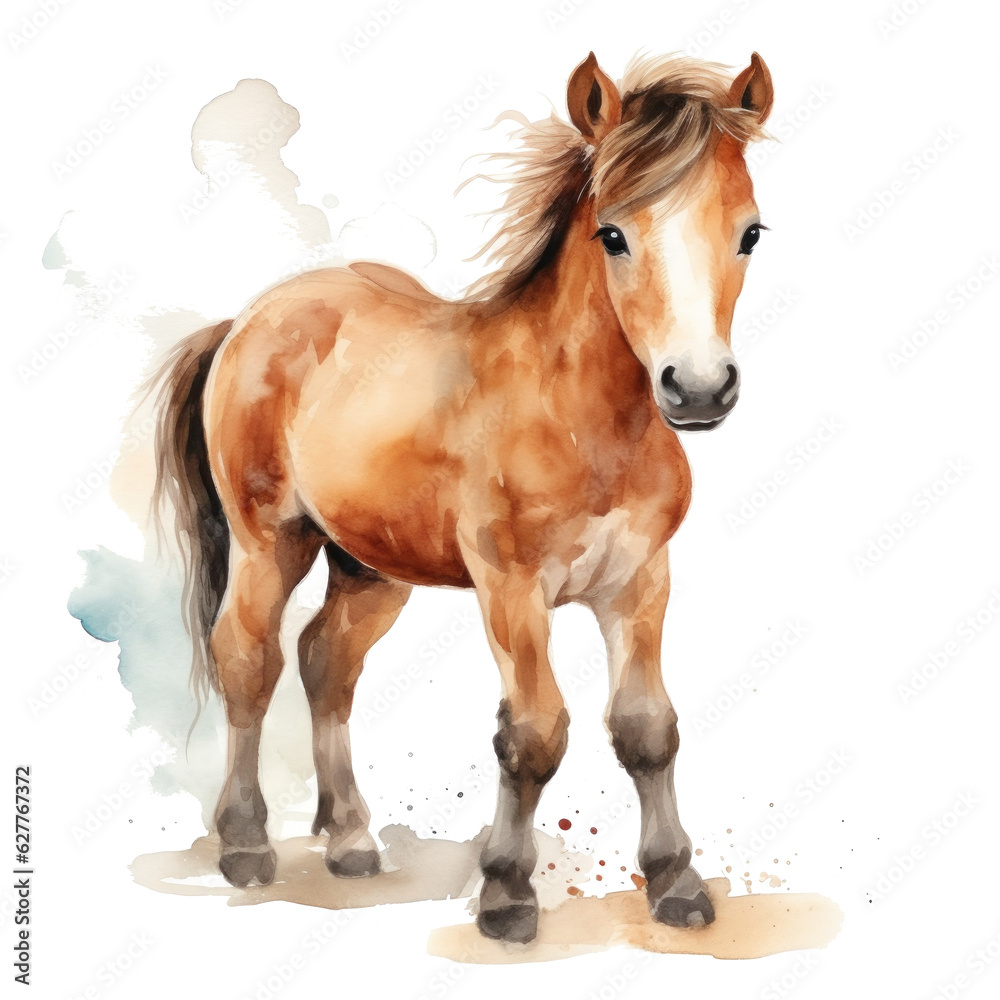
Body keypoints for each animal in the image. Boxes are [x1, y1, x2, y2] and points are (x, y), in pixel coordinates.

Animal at [149, 50, 774, 944]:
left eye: (750, 233)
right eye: (613, 234)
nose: (695, 388)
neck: (582, 420)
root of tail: (245, 321)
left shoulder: (639, 584)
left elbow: (648, 728)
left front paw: (677, 885)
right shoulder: (511, 589)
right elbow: (535, 733)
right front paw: (507, 893)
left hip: (371, 565)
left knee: (327, 662)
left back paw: (351, 841)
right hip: (271, 541)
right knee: (247, 658)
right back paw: (244, 845)